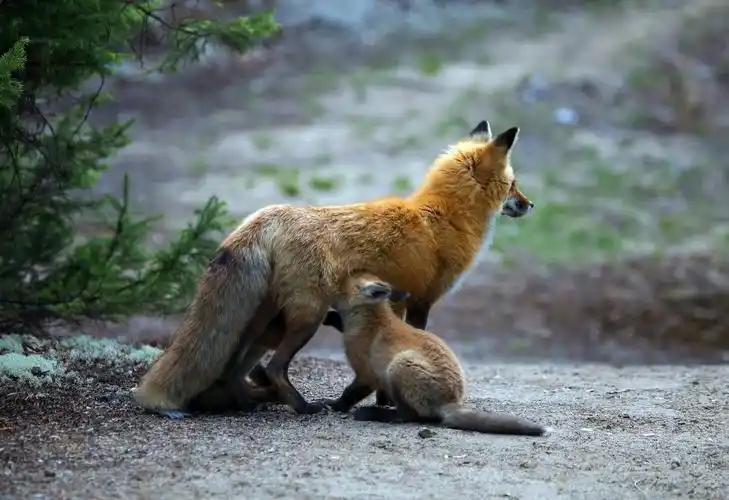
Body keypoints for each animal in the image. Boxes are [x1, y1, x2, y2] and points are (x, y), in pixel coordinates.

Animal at [132, 120, 535, 418]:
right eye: (513, 184)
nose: (530, 205)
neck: (442, 217)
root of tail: (268, 214)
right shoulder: (422, 300)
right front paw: (383, 402)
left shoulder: (398, 298)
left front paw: (384, 399)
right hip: (306, 316)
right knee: (274, 367)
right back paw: (302, 407)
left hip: (267, 317)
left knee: (234, 364)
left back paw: (246, 405)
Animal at [317, 274, 546, 436]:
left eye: (340, 283)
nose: (324, 283)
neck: (370, 323)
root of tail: (451, 401)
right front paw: (331, 318)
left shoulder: (367, 374)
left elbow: (349, 394)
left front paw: (332, 405)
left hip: (399, 367)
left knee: (408, 416)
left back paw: (374, 414)